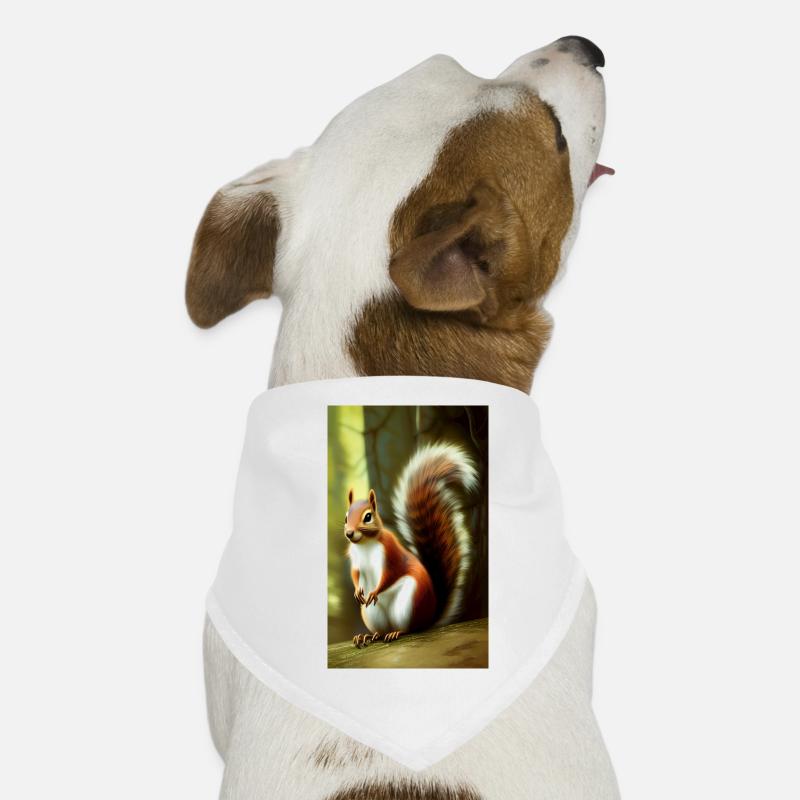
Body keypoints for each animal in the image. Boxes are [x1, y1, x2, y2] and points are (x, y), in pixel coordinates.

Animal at [344, 442, 478, 647]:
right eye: (346, 518)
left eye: (368, 517)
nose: (349, 533)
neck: (365, 544)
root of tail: (429, 616)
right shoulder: (355, 559)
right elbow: (355, 574)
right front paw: (357, 590)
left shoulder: (390, 553)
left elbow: (389, 574)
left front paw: (375, 591)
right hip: (371, 613)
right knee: (380, 631)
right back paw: (368, 636)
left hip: (409, 601)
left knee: (411, 628)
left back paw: (396, 632)